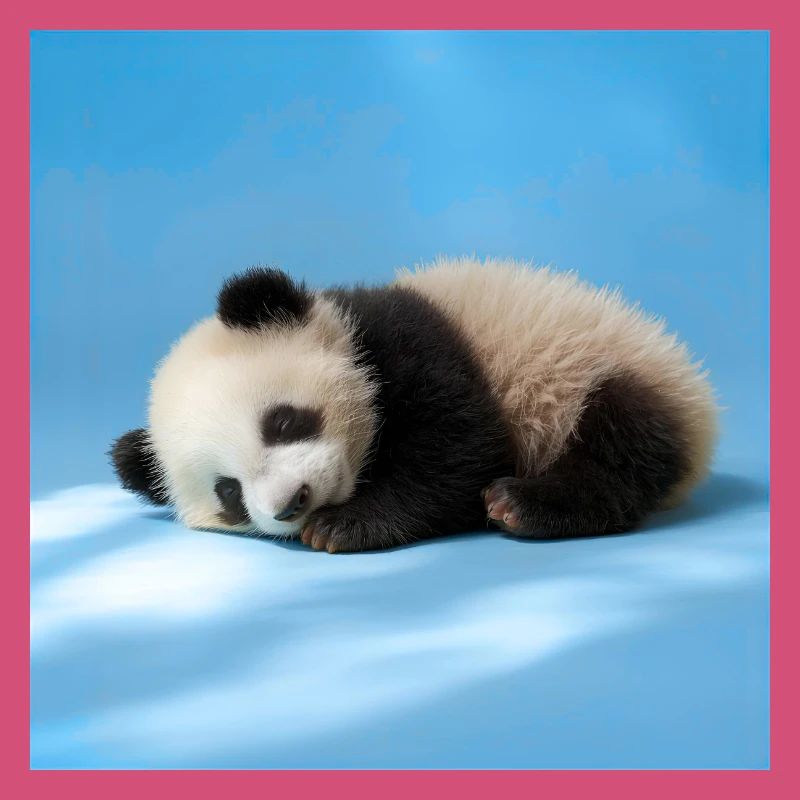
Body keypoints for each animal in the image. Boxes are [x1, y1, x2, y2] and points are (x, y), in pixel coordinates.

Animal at [111, 257, 718, 553]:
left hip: (600, 369)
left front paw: (344, 526)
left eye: (282, 422)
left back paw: (525, 503)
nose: (292, 504)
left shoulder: (412, 340)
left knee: (622, 442)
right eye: (228, 493)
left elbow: (460, 446)